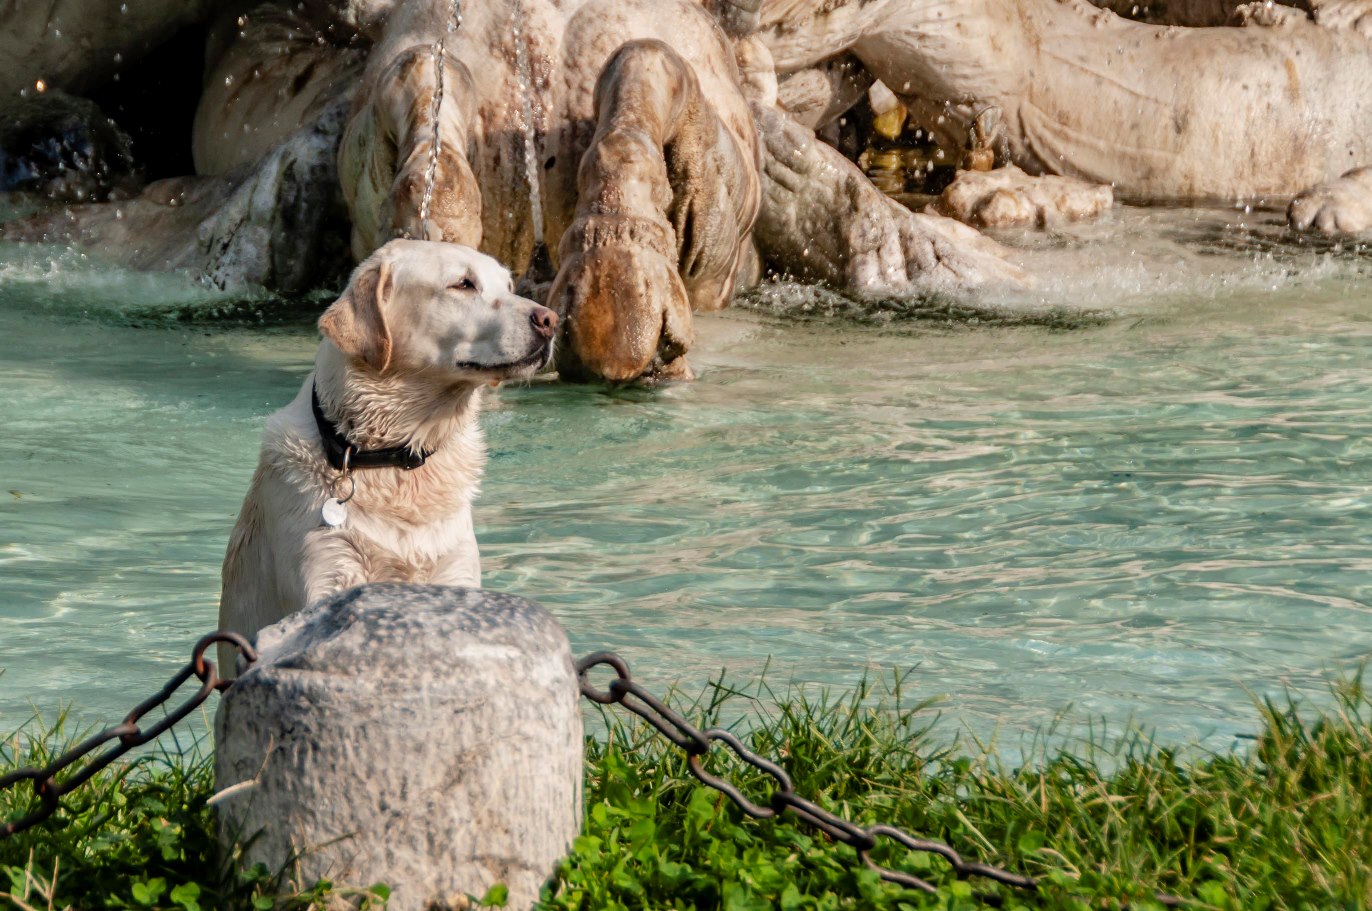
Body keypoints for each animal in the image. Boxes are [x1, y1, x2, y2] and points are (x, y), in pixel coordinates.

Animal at [215, 240, 557, 669]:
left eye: (508, 286)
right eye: (463, 284)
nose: (550, 319)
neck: (394, 460)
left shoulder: (454, 570)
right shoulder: (328, 570)